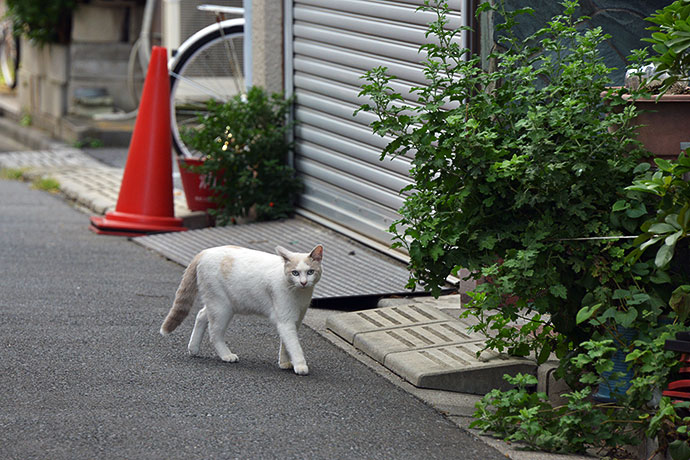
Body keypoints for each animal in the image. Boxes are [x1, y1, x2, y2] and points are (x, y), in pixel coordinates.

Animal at [160, 243, 324, 376]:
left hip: (217, 304)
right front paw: (300, 365)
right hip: (222, 308)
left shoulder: (295, 321)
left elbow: (286, 345)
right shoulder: (286, 321)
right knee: (214, 334)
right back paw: (226, 355)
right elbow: (295, 346)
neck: (299, 293)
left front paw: (284, 363)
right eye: (295, 273)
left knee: (200, 316)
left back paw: (193, 348)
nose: (303, 282)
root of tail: (204, 252)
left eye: (310, 272)